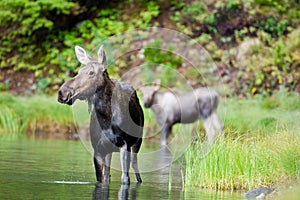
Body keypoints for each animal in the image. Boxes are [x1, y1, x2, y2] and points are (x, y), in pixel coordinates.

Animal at [58, 45, 145, 184]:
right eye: (79, 71)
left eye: (91, 72)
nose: (63, 92)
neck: (106, 120)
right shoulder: (98, 150)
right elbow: (101, 179)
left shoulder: (124, 145)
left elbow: (125, 179)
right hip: (109, 151)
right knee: (108, 174)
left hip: (138, 141)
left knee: (135, 168)